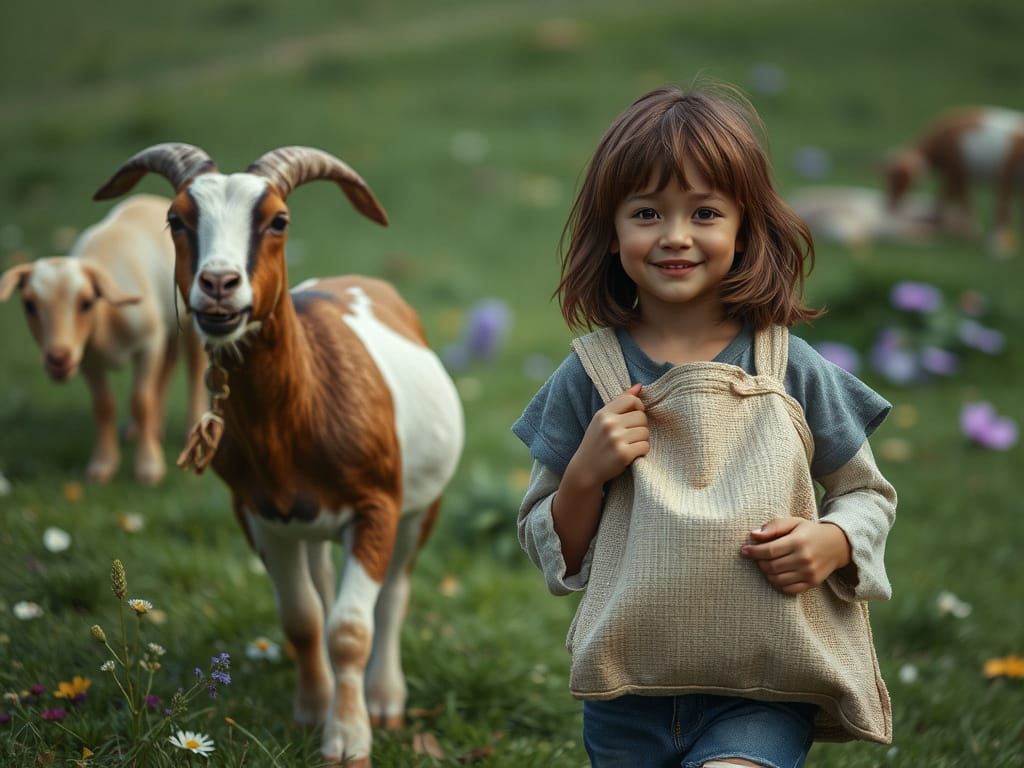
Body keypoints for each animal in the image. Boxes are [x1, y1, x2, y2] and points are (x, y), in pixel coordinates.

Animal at [0, 194, 206, 484]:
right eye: (29, 305)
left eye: (87, 303)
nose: (58, 358)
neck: (107, 320)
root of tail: (153, 199)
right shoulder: (87, 358)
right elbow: (104, 405)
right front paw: (103, 466)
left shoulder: (147, 343)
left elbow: (140, 400)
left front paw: (148, 467)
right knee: (168, 365)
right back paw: (149, 428)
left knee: (193, 367)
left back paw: (190, 428)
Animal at [93, 144, 464, 766]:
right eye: (176, 220)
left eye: (279, 221)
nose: (219, 283)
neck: (302, 410)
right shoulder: (259, 514)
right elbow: (303, 620)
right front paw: (312, 713)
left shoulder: (376, 505)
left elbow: (350, 629)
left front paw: (349, 739)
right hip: (306, 523)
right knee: (320, 587)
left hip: (421, 505)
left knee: (394, 595)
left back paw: (385, 698)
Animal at [883, 106, 1024, 255]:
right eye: (886, 178)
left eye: (899, 179)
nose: (890, 205)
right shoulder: (958, 174)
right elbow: (958, 198)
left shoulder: (956, 171)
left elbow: (952, 197)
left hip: (1006, 176)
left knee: (1002, 208)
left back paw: (996, 244)